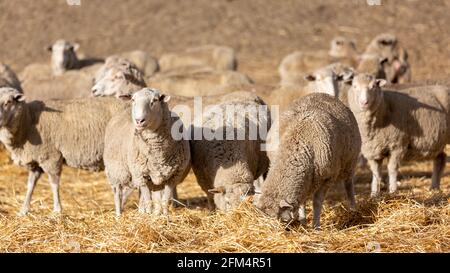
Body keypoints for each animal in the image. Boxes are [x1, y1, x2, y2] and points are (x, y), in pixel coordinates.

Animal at [0, 86, 128, 214]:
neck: (28, 120)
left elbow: (54, 183)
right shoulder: (35, 162)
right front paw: (24, 210)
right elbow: (30, 185)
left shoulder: (51, 156)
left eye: (8, 102)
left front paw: (57, 209)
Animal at [104, 87, 192, 215]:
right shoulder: (140, 174)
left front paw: (164, 215)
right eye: (133, 100)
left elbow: (164, 200)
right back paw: (119, 215)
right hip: (116, 172)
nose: (139, 120)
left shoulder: (173, 176)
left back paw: (142, 211)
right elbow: (148, 199)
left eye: (154, 101)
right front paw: (149, 215)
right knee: (117, 193)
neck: (158, 153)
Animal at [255, 92, 360, 228]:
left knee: (348, 185)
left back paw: (353, 210)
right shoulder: (305, 178)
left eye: (278, 219)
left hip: (350, 162)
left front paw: (316, 226)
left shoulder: (327, 178)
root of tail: (321, 93)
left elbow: (317, 202)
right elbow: (302, 202)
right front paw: (303, 222)